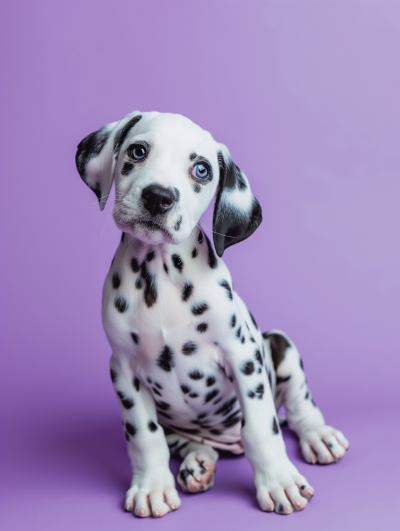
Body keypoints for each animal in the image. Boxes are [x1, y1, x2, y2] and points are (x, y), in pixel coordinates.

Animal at [76, 112, 350, 520]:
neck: (161, 274)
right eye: (137, 151)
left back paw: (320, 436)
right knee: (188, 443)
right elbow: (144, 436)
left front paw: (278, 482)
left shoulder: (243, 356)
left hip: (280, 344)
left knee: (301, 406)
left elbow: (261, 429)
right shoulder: (123, 369)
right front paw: (152, 487)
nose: (159, 196)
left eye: (202, 170)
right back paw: (197, 463)